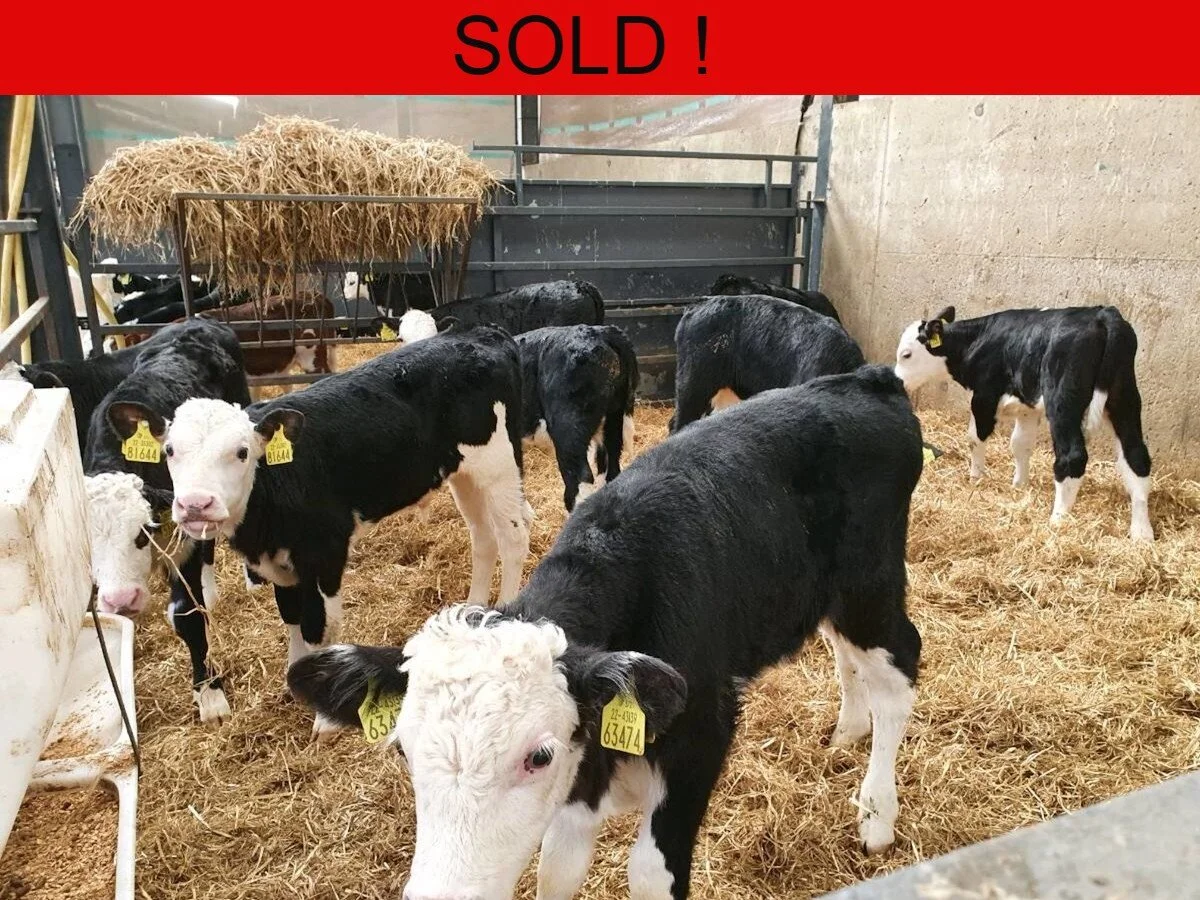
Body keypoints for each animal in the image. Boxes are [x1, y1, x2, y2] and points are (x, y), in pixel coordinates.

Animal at [82, 316, 252, 725]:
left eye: (142, 533)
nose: (121, 599)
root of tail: (197, 321)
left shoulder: (186, 538)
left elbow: (187, 616)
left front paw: (210, 696)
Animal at [159, 324, 534, 736]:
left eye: (241, 452)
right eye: (170, 451)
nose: (196, 504)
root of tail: (479, 331)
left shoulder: (325, 553)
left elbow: (320, 627)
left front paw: (324, 714)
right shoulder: (282, 560)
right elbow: (291, 615)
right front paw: (294, 679)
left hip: (498, 464)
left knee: (512, 538)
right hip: (464, 474)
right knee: (482, 537)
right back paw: (473, 606)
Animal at [287, 364, 925, 900]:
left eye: (538, 756)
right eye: (403, 749)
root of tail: (868, 380)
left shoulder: (700, 740)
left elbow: (648, 875)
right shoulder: (581, 780)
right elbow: (556, 872)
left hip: (869, 585)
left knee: (898, 671)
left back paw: (877, 816)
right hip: (822, 594)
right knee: (844, 651)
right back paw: (848, 729)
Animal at [893, 304, 1154, 541]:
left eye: (906, 354)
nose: (897, 381)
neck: (976, 343)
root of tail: (1103, 314)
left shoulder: (983, 397)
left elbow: (975, 438)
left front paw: (976, 478)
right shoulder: (1026, 406)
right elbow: (1020, 444)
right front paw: (1020, 484)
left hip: (1063, 402)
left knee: (1072, 457)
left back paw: (1058, 520)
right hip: (1124, 399)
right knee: (1136, 456)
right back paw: (1142, 533)